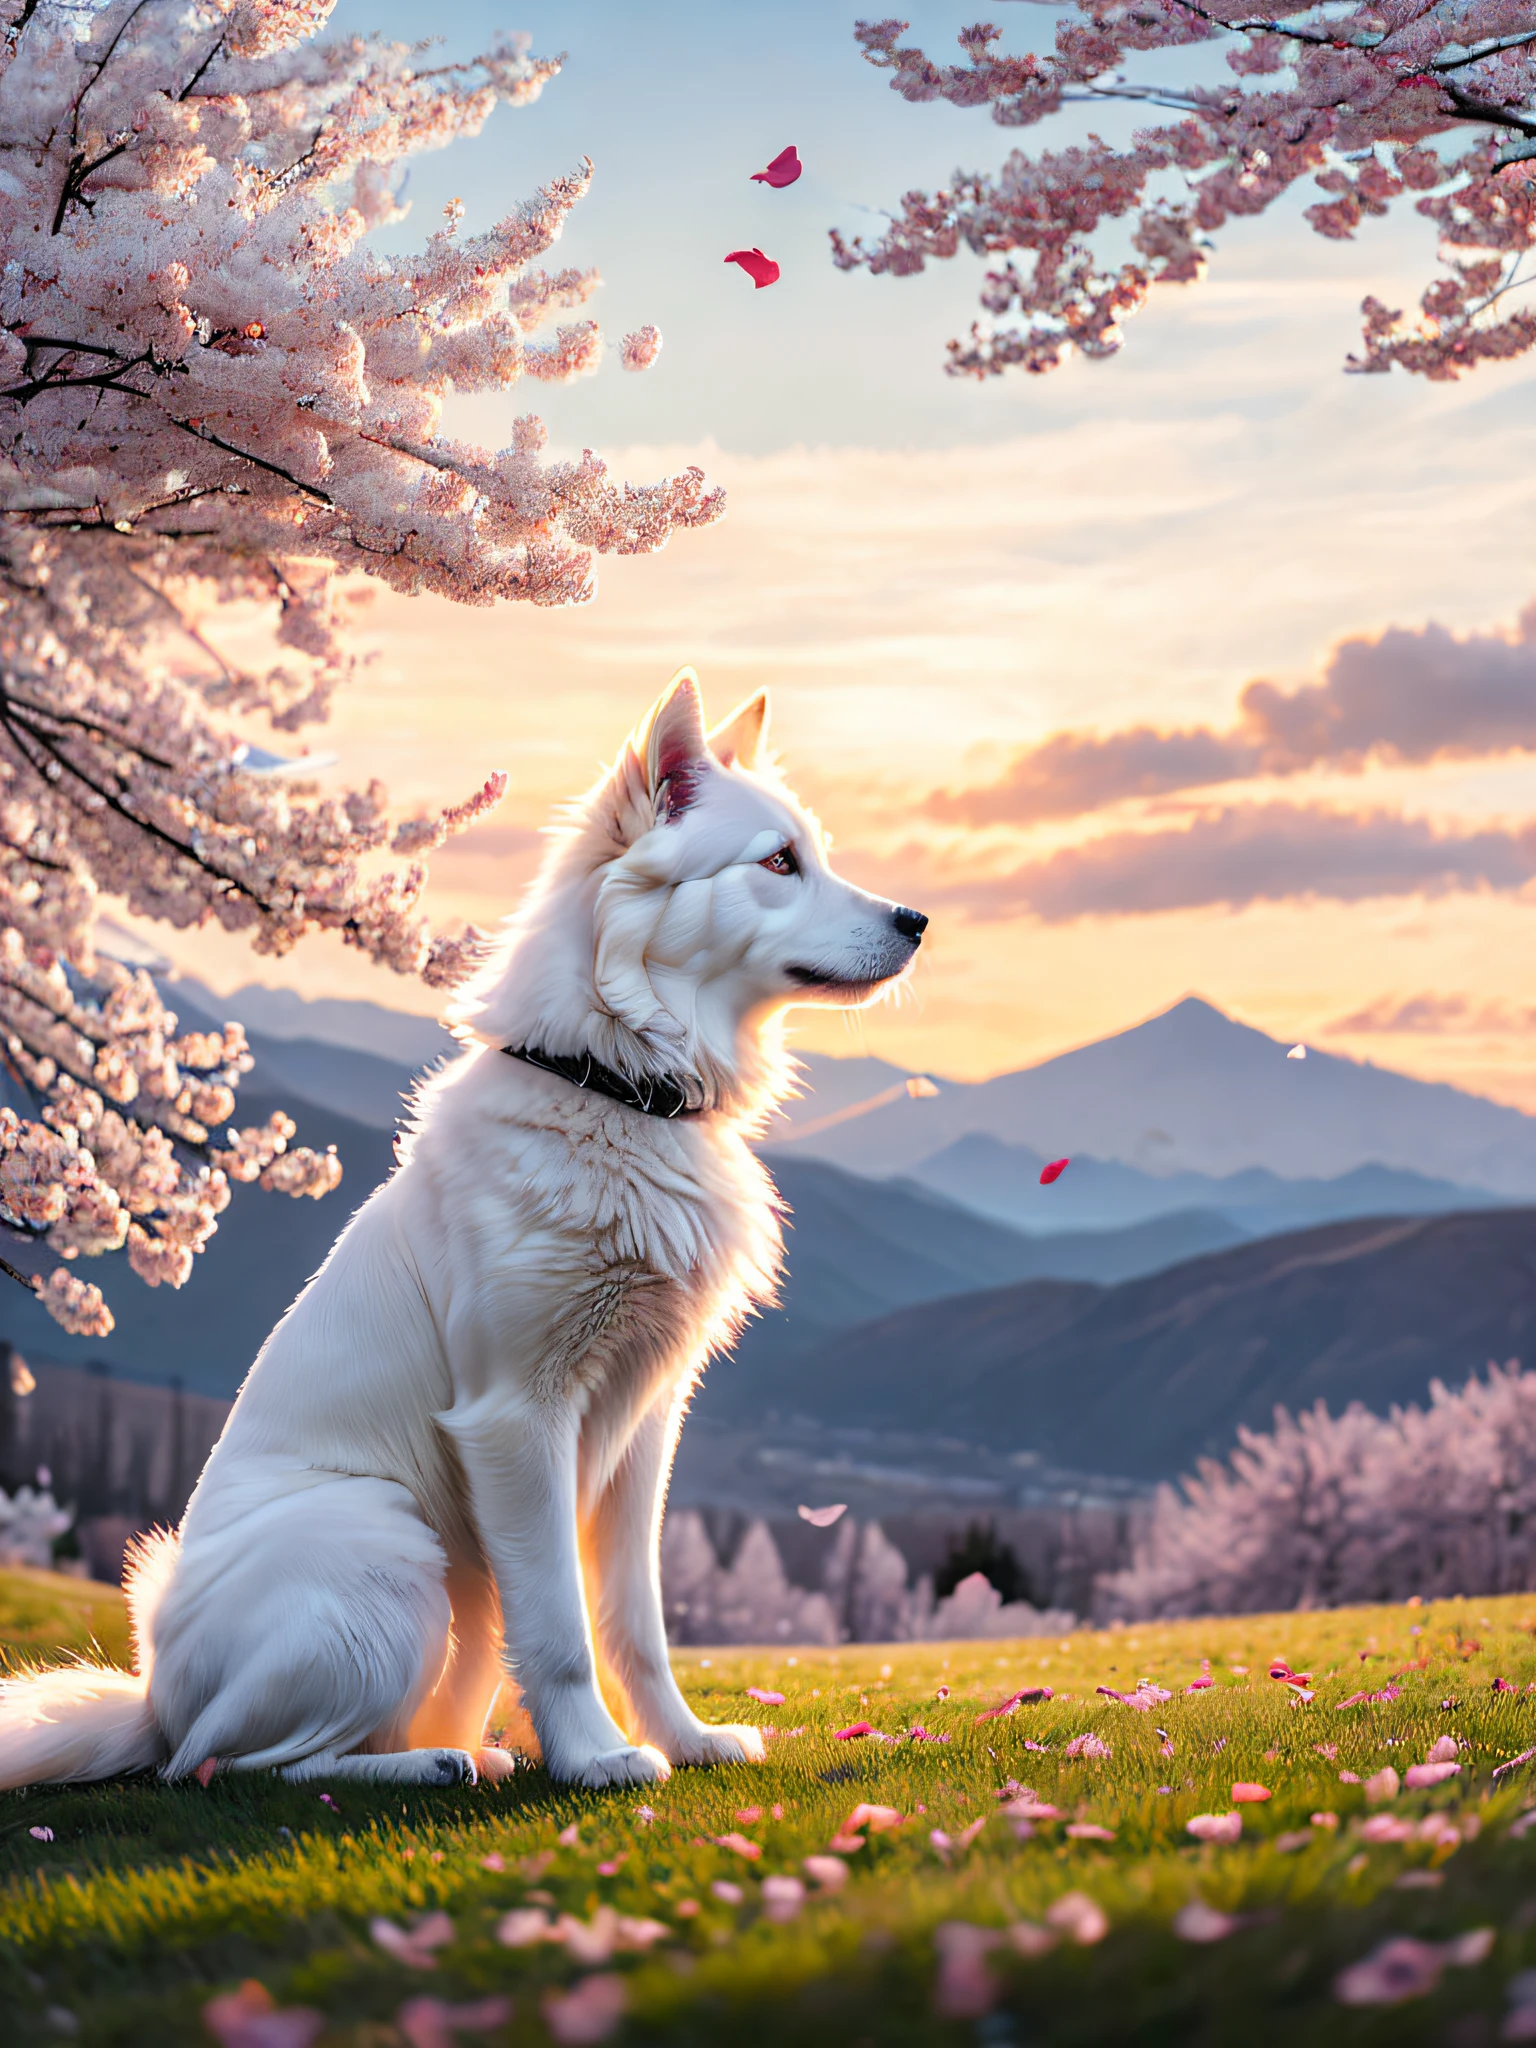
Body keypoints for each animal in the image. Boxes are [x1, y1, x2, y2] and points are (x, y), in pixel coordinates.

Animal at [0, 675, 925, 1794]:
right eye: (779, 862)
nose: (918, 919)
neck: (617, 1087)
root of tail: (152, 1698)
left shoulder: (644, 1421)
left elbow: (635, 1621)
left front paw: (683, 1739)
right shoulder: (516, 1413)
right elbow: (560, 1627)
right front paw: (594, 1758)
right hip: (385, 1539)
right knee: (235, 1763)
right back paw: (433, 1762)